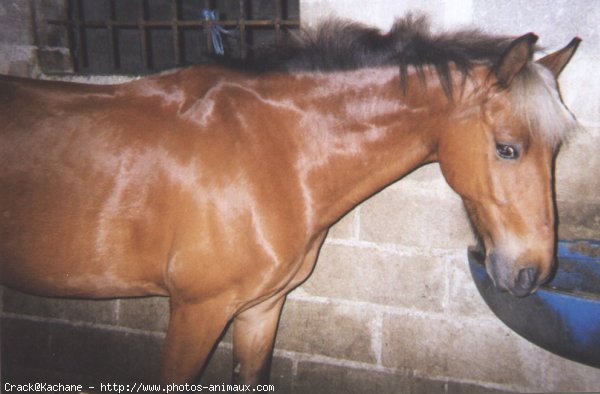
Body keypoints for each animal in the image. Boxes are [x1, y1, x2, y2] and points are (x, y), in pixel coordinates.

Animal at [0, 16, 580, 386]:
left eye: (557, 151)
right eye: (507, 148)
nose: (532, 273)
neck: (268, 150)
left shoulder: (261, 308)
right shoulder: (196, 311)